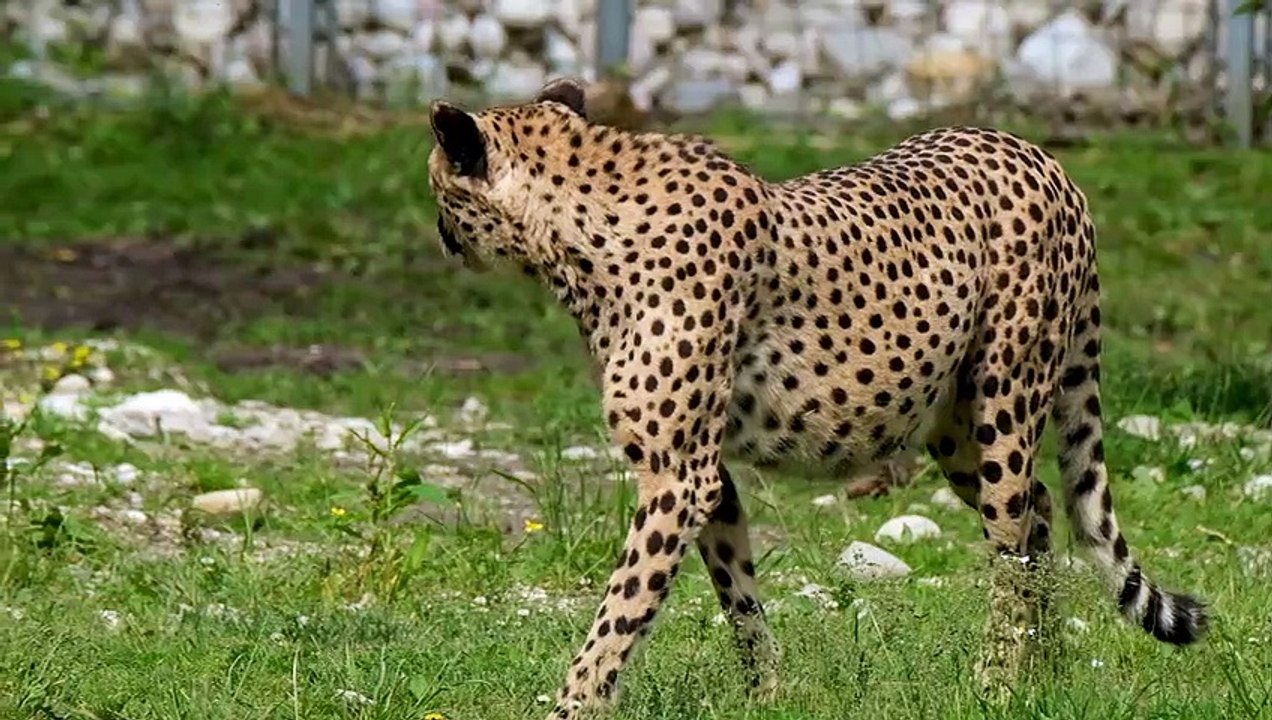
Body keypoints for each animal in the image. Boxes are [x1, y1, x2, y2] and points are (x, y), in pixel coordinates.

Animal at [424, 77, 1209, 720]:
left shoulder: (677, 475)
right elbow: (737, 593)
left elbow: (619, 613)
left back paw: (998, 683)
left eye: (437, 187)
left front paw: (574, 704)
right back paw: (1047, 676)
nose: (441, 237)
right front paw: (768, 694)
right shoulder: (709, 477)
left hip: (1004, 407)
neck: (576, 226)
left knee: (1012, 540)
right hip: (956, 431)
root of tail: (1037, 153)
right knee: (1040, 512)